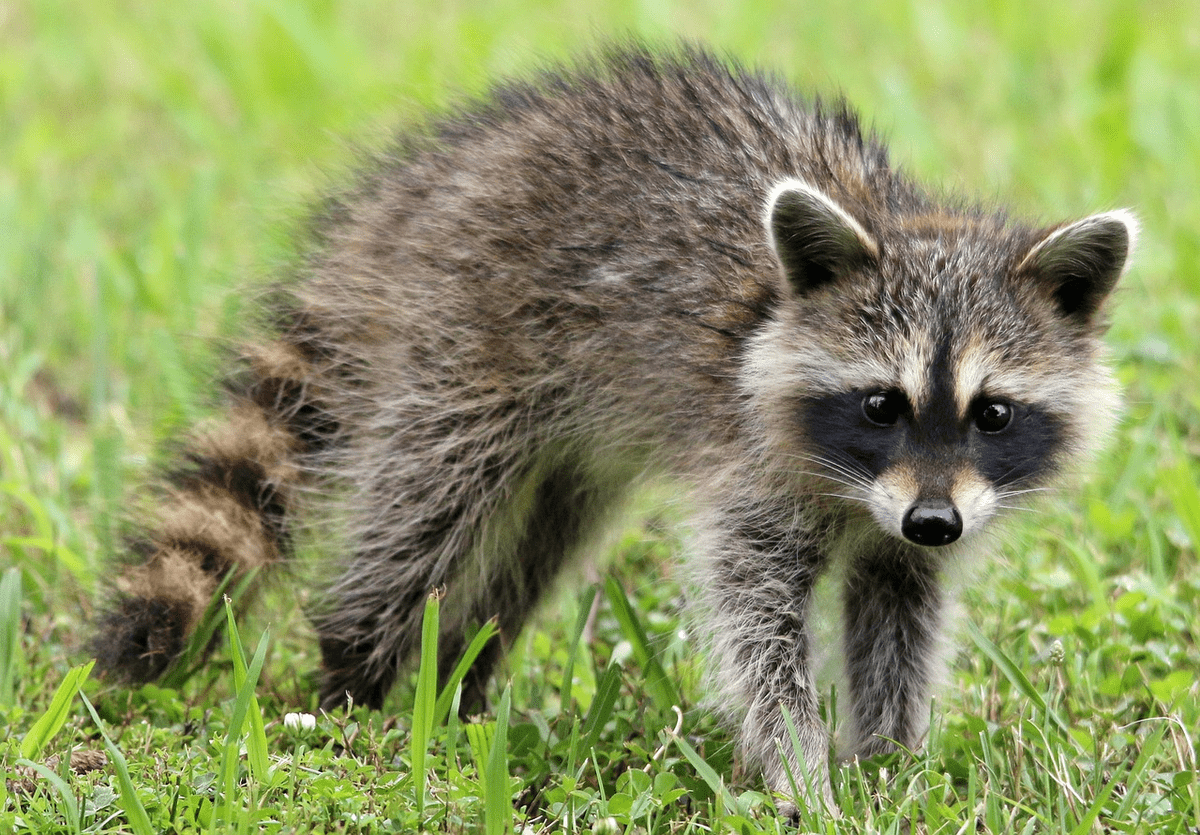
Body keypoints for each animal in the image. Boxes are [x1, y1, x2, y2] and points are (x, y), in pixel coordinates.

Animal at [92, 44, 1136, 809]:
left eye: (992, 413)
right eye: (882, 403)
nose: (933, 522)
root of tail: (428, 181)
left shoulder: (918, 519)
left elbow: (900, 612)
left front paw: (890, 762)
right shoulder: (752, 465)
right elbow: (754, 616)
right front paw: (801, 767)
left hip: (569, 436)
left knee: (537, 543)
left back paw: (462, 677)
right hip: (465, 337)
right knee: (424, 510)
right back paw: (353, 676)